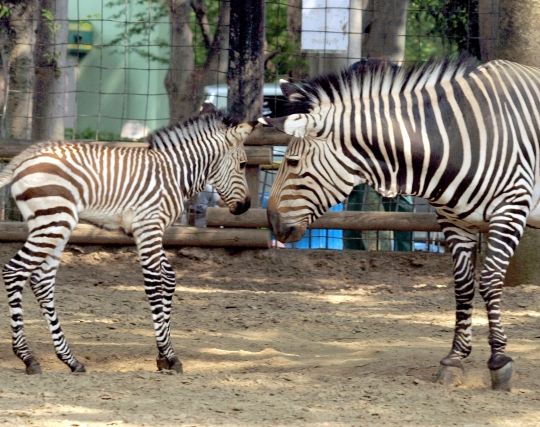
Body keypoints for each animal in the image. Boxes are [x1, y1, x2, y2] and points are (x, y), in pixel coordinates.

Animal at [1, 105, 254, 376]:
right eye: (242, 164)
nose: (246, 207)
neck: (175, 173)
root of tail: (25, 157)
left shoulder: (148, 230)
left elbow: (169, 278)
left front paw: (163, 354)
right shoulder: (149, 226)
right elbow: (154, 283)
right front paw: (170, 356)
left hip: (54, 225)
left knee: (42, 281)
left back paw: (70, 360)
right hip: (53, 221)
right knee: (14, 271)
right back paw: (27, 357)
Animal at [262, 58, 540, 392]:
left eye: (292, 162)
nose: (272, 223)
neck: (453, 140)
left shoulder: (510, 210)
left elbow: (488, 282)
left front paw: (499, 360)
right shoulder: (454, 219)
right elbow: (462, 286)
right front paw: (454, 359)